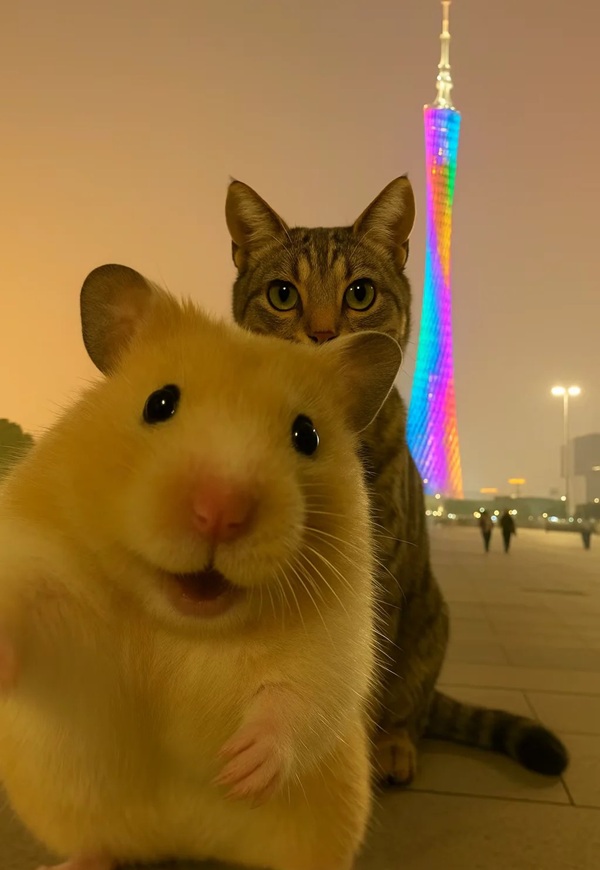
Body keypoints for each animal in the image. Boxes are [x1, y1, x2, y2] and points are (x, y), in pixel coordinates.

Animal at [0, 264, 401, 870]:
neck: (184, 625)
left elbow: (298, 699)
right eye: (159, 403)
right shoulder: (48, 582)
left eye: (306, 435)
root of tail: (184, 844)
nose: (221, 512)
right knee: (101, 845)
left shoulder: (338, 639)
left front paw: (237, 770)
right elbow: (31, 614)